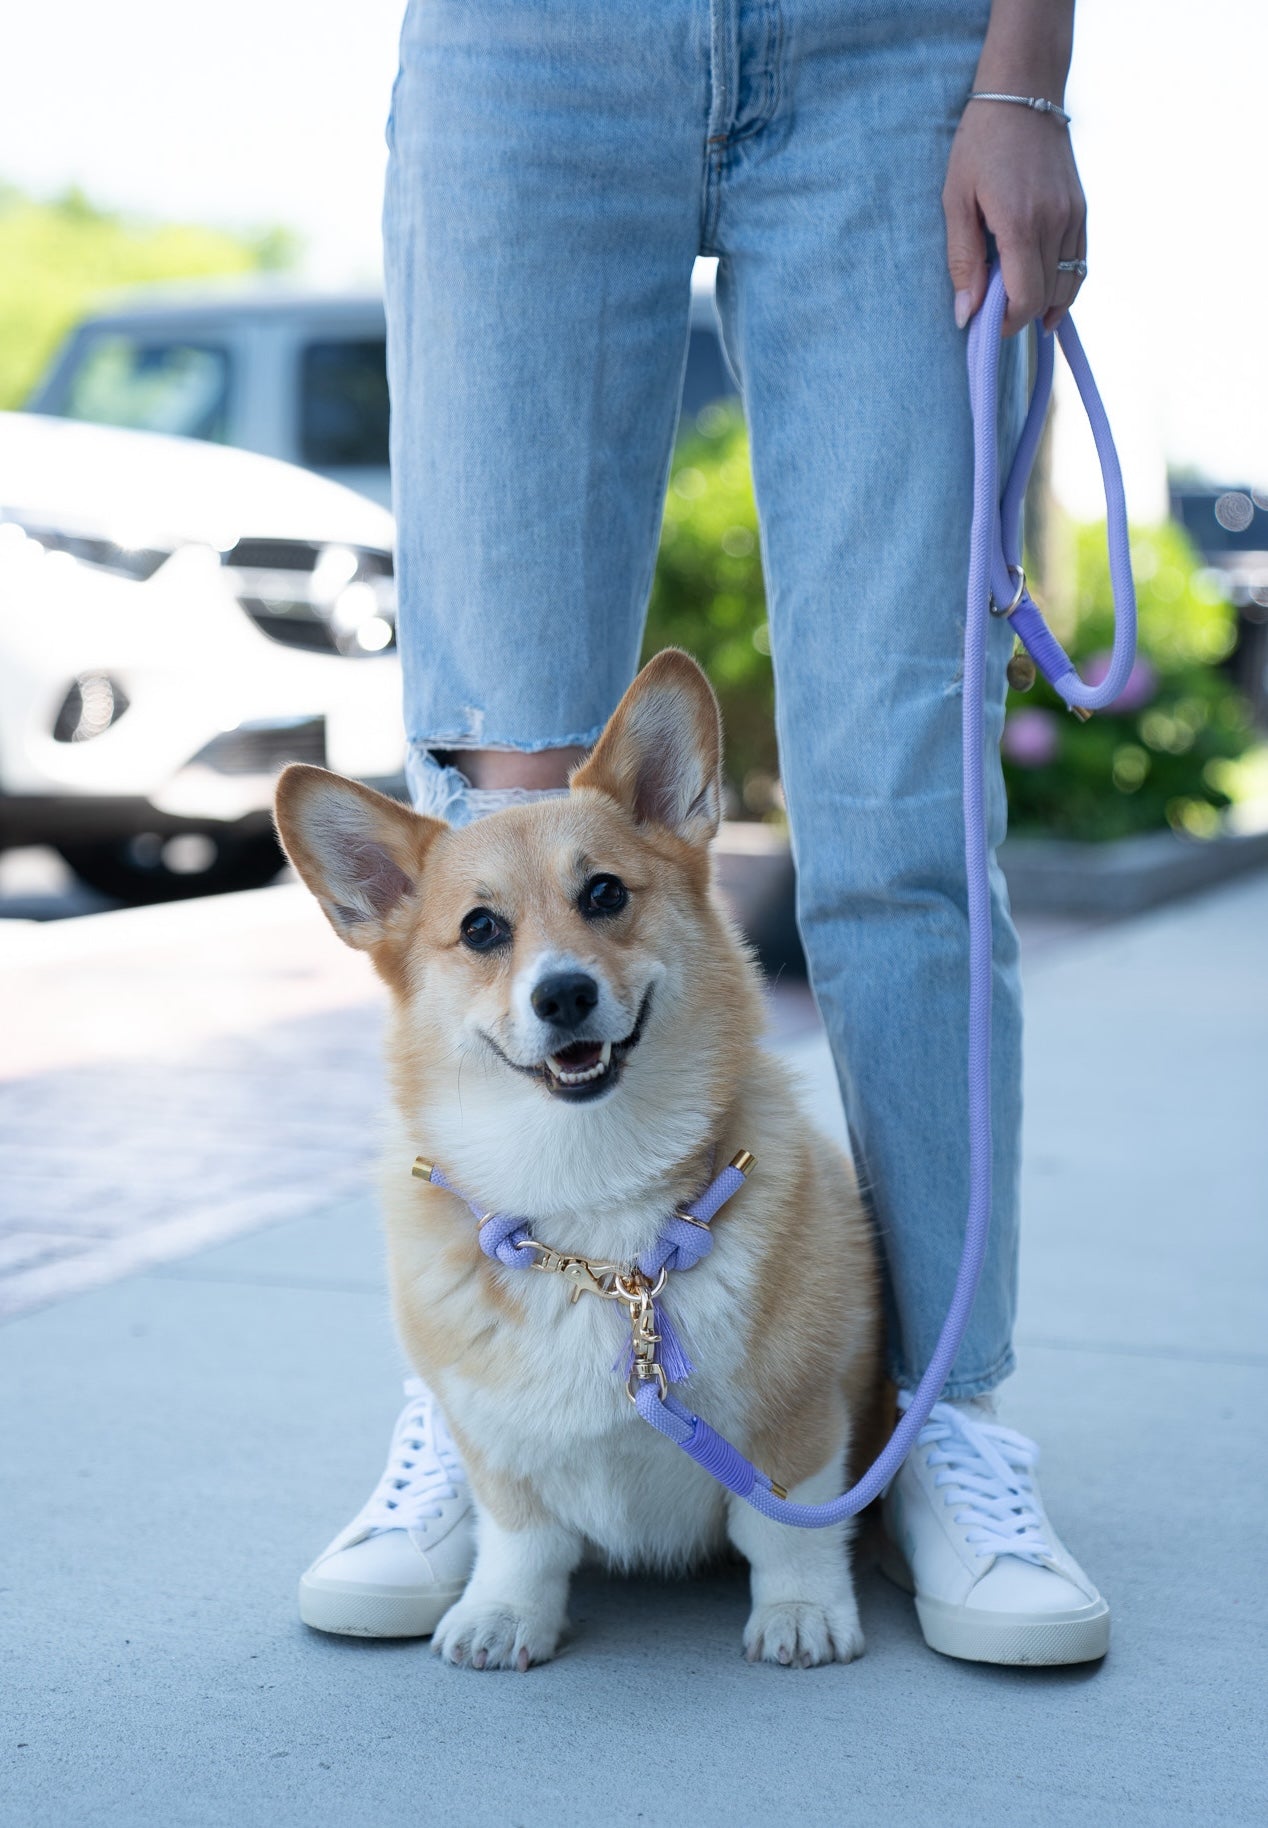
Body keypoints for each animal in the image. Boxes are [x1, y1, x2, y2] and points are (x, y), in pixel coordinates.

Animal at [274, 650, 880, 1667]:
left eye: (604, 894)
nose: (562, 995)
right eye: (481, 929)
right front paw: (504, 1614)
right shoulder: (495, 1446)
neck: (592, 1200)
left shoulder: (796, 1414)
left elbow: (785, 1524)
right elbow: (523, 1538)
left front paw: (800, 1610)